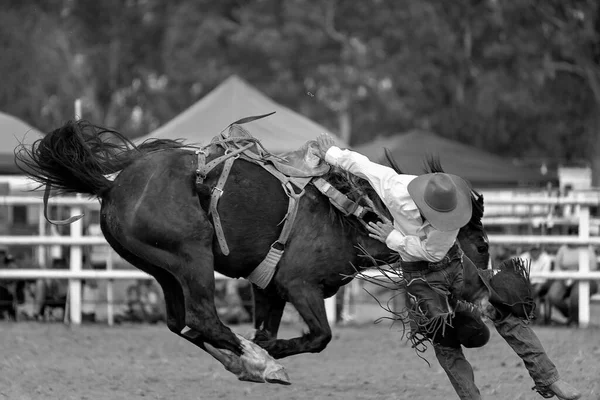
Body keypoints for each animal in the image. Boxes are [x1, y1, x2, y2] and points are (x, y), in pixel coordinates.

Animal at [16, 119, 490, 384]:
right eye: (483, 244)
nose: (483, 294)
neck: (350, 213)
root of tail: (111, 185)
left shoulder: (268, 289)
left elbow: (270, 325)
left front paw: (264, 345)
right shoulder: (299, 285)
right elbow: (319, 337)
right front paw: (271, 352)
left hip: (162, 268)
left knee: (182, 323)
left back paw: (247, 363)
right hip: (192, 257)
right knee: (202, 318)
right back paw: (262, 364)